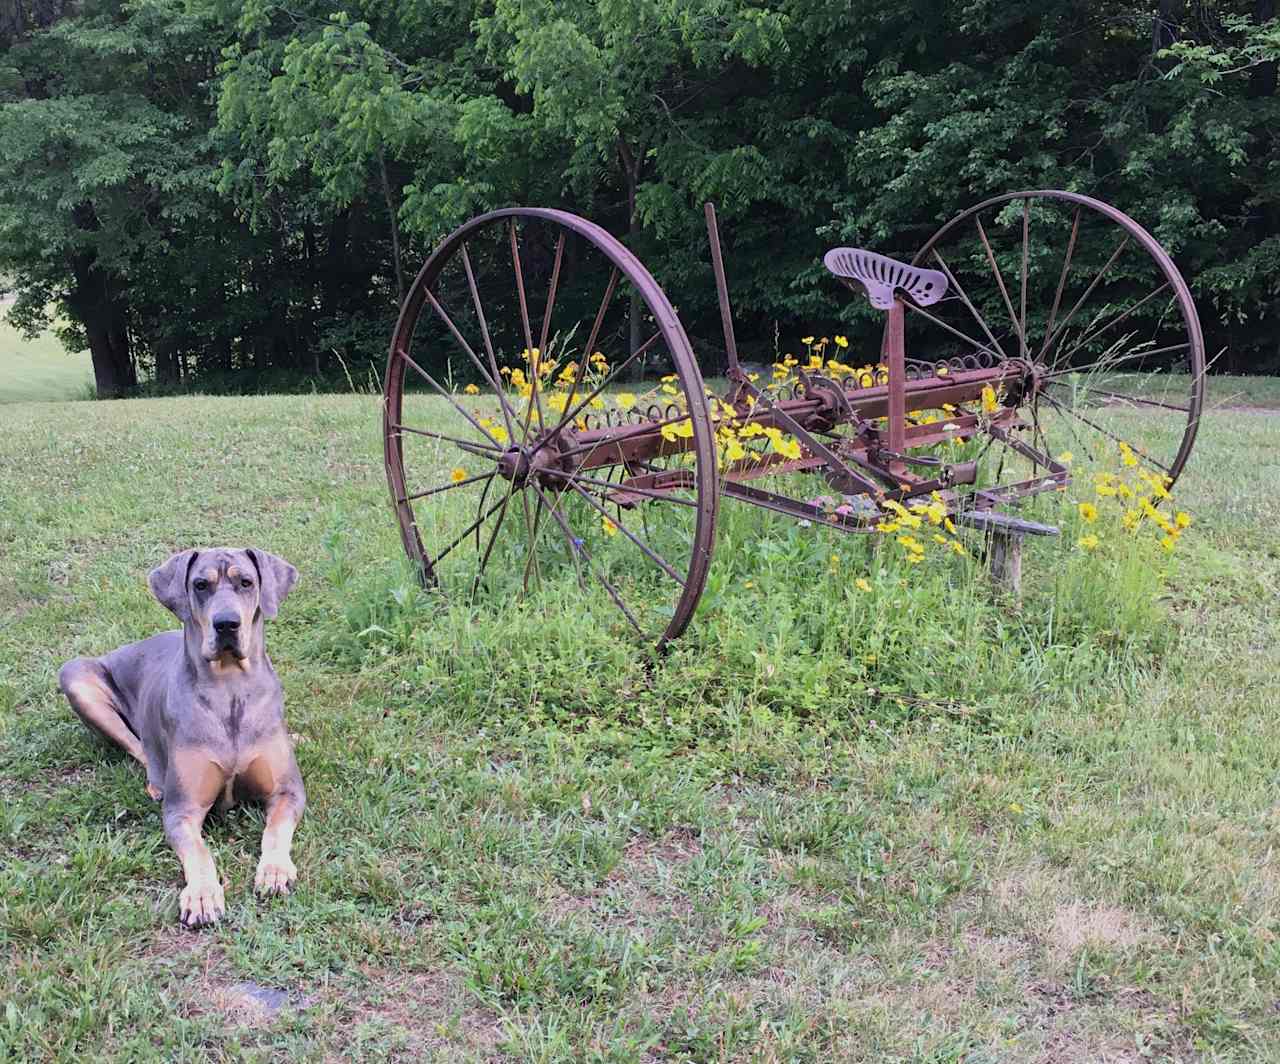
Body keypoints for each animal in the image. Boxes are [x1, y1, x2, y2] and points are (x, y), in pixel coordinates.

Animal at [58, 553, 305, 926]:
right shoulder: (182, 809)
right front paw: (203, 894)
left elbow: (276, 829)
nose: (226, 624)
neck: (230, 688)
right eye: (200, 584)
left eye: (246, 582)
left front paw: (275, 871)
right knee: (139, 746)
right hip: (75, 675)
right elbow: (198, 849)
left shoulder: (288, 790)